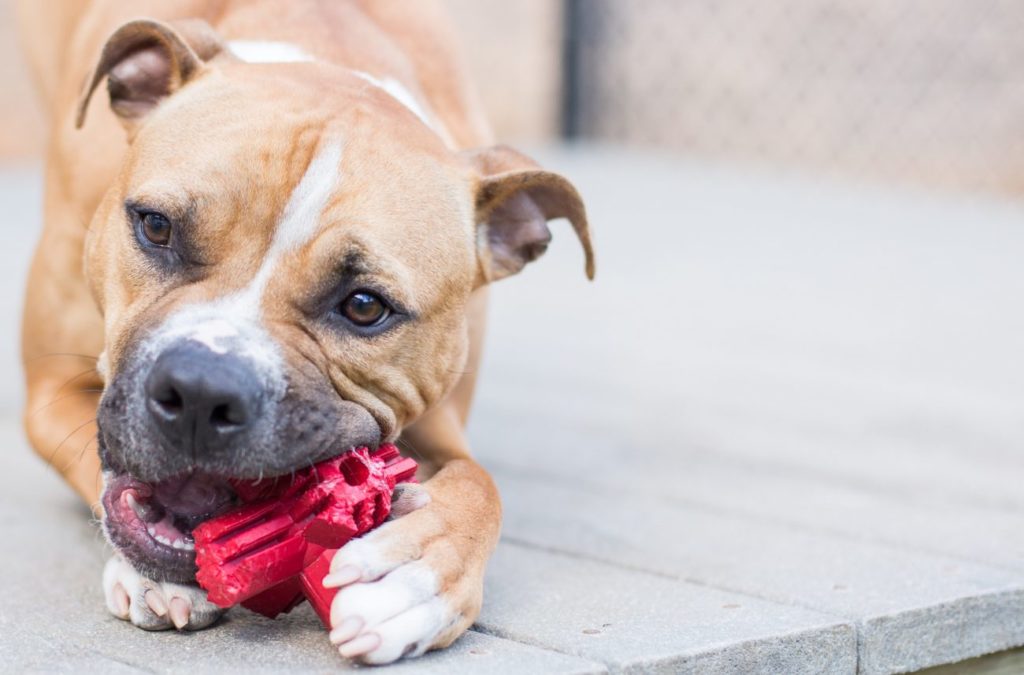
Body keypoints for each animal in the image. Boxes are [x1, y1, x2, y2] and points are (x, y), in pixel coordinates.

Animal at [14, 0, 593, 663]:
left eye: (366, 306)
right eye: (156, 226)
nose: (201, 391)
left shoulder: (442, 422)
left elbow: (481, 484)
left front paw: (415, 576)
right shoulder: (50, 391)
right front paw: (148, 576)